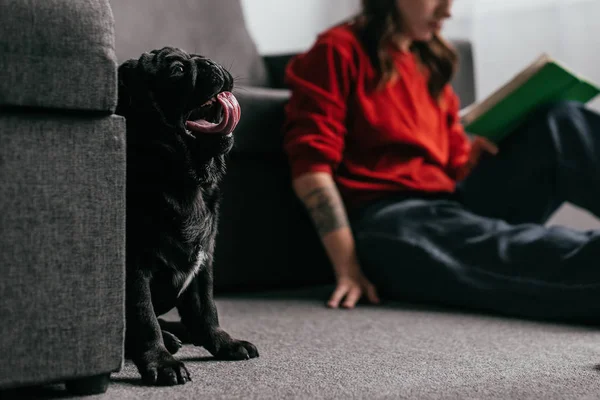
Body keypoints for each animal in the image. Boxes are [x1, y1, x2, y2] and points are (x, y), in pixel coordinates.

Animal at [116, 45, 258, 386]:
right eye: (177, 71)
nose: (210, 63)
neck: (183, 179)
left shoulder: (204, 263)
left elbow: (206, 309)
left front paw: (223, 342)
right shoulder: (135, 270)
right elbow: (144, 319)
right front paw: (161, 362)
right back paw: (169, 340)